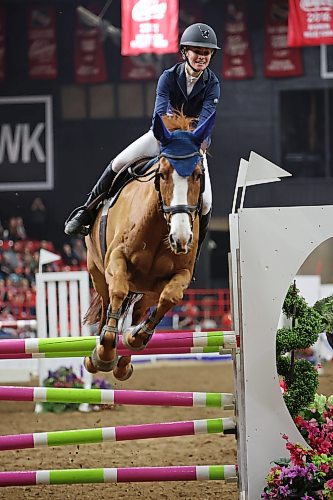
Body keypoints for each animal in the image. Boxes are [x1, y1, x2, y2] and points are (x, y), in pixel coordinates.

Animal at [81, 111, 214, 380]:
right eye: (162, 174)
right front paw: (105, 352)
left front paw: (137, 336)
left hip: (148, 290)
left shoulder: (181, 274)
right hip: (97, 272)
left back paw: (124, 361)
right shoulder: (115, 261)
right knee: (107, 302)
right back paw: (96, 354)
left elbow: (171, 298)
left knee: (140, 310)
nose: (181, 238)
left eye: (198, 175)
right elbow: (118, 291)